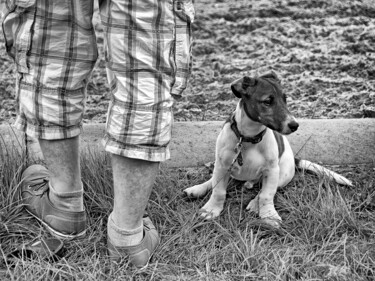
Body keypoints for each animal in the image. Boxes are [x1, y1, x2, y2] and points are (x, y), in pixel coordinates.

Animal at [184, 71, 354, 225]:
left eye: (285, 99)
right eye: (267, 101)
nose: (295, 125)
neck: (249, 138)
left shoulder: (271, 171)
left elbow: (266, 195)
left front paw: (269, 215)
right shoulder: (222, 165)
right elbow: (218, 191)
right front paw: (211, 209)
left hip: (283, 175)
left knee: (265, 190)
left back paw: (254, 203)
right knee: (214, 181)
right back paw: (197, 189)